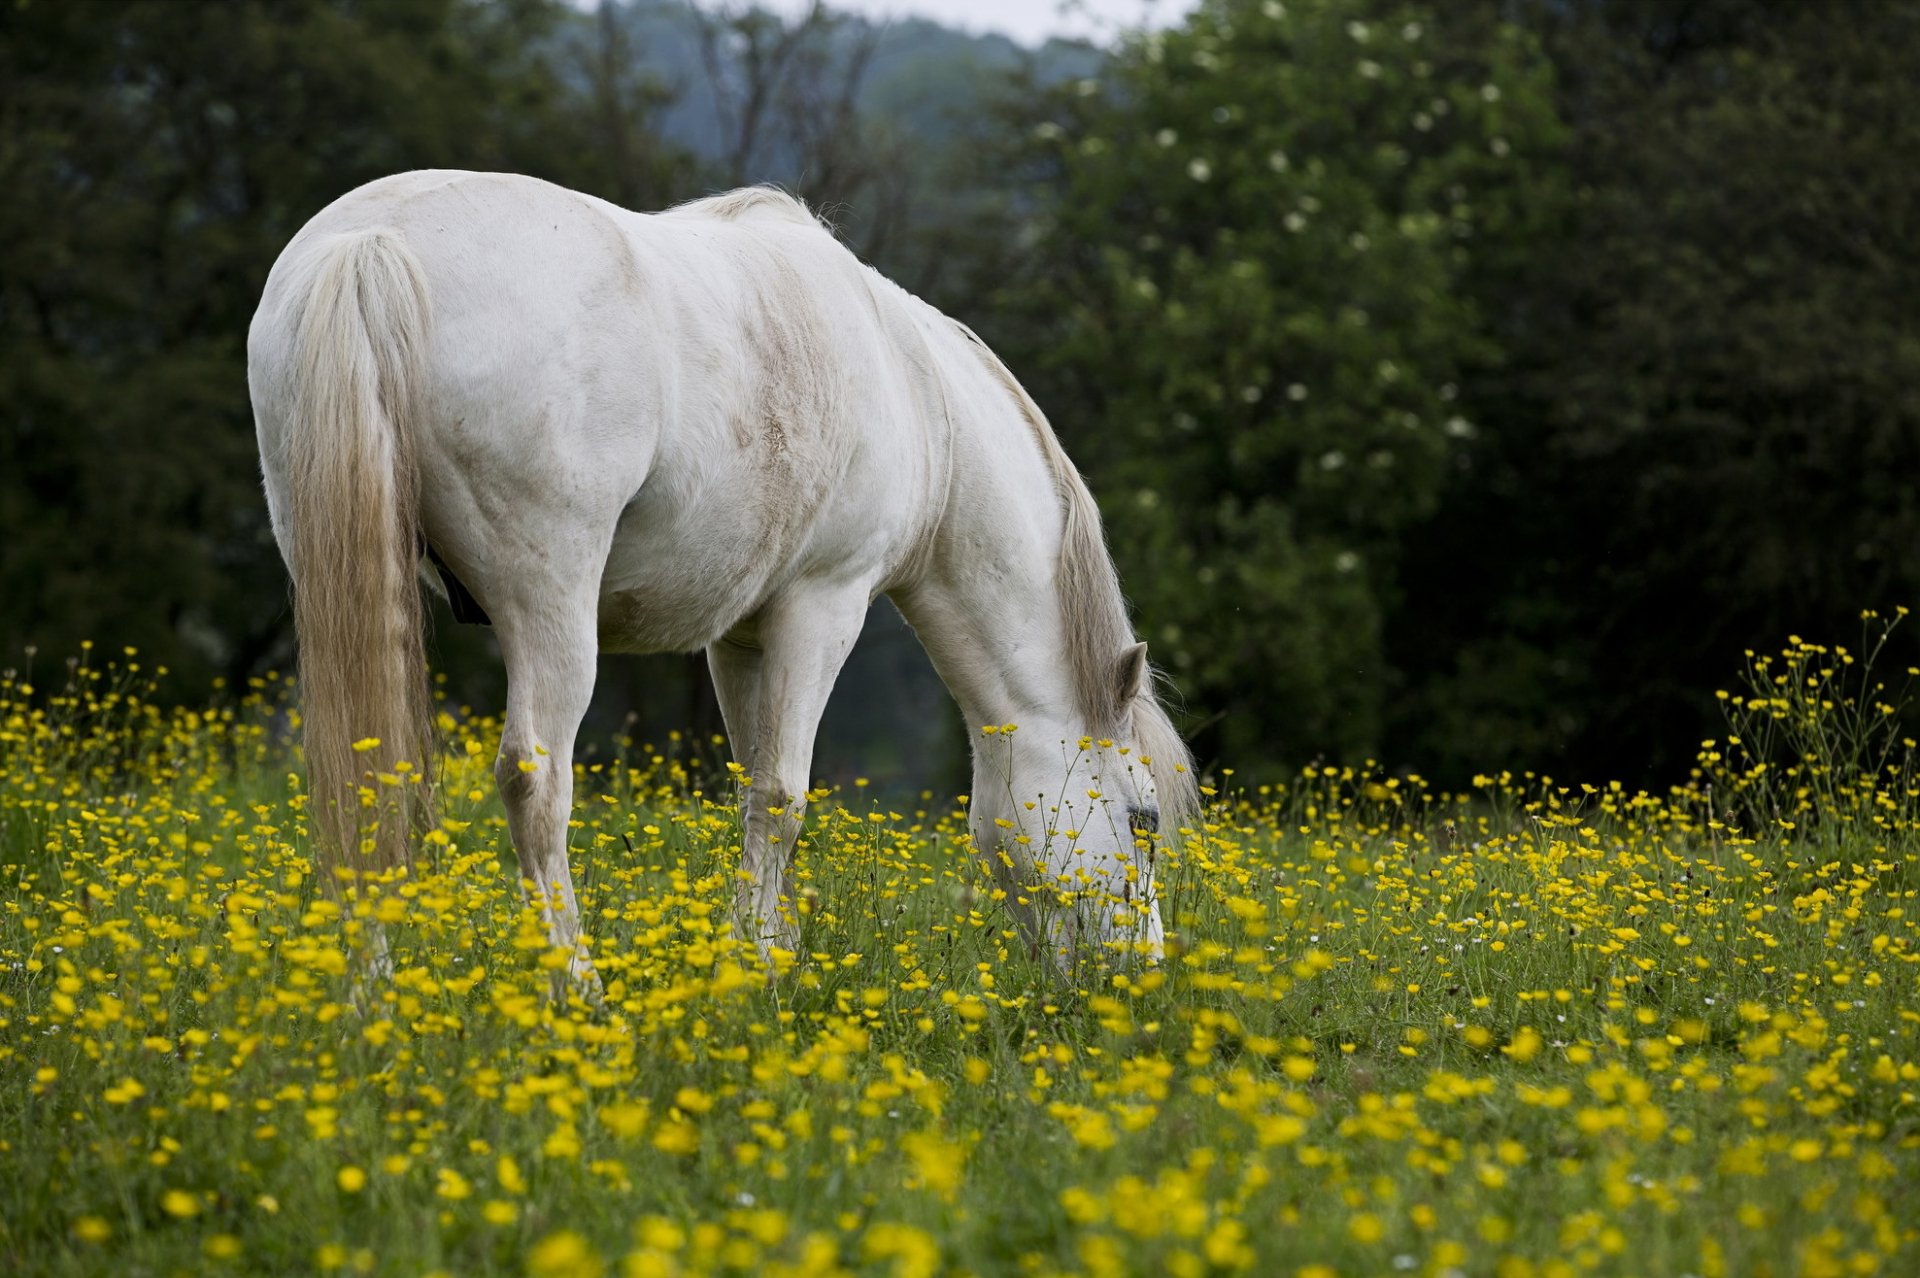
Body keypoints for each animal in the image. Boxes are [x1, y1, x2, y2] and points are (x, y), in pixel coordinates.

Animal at [247, 170, 1196, 986]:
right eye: (1144, 820)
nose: (1141, 976)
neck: (916, 390)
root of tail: (373, 243)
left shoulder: (740, 635)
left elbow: (751, 793)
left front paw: (770, 955)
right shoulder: (824, 607)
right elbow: (783, 797)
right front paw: (753, 967)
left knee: (362, 773)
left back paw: (369, 996)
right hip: (549, 611)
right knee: (534, 783)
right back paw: (575, 991)